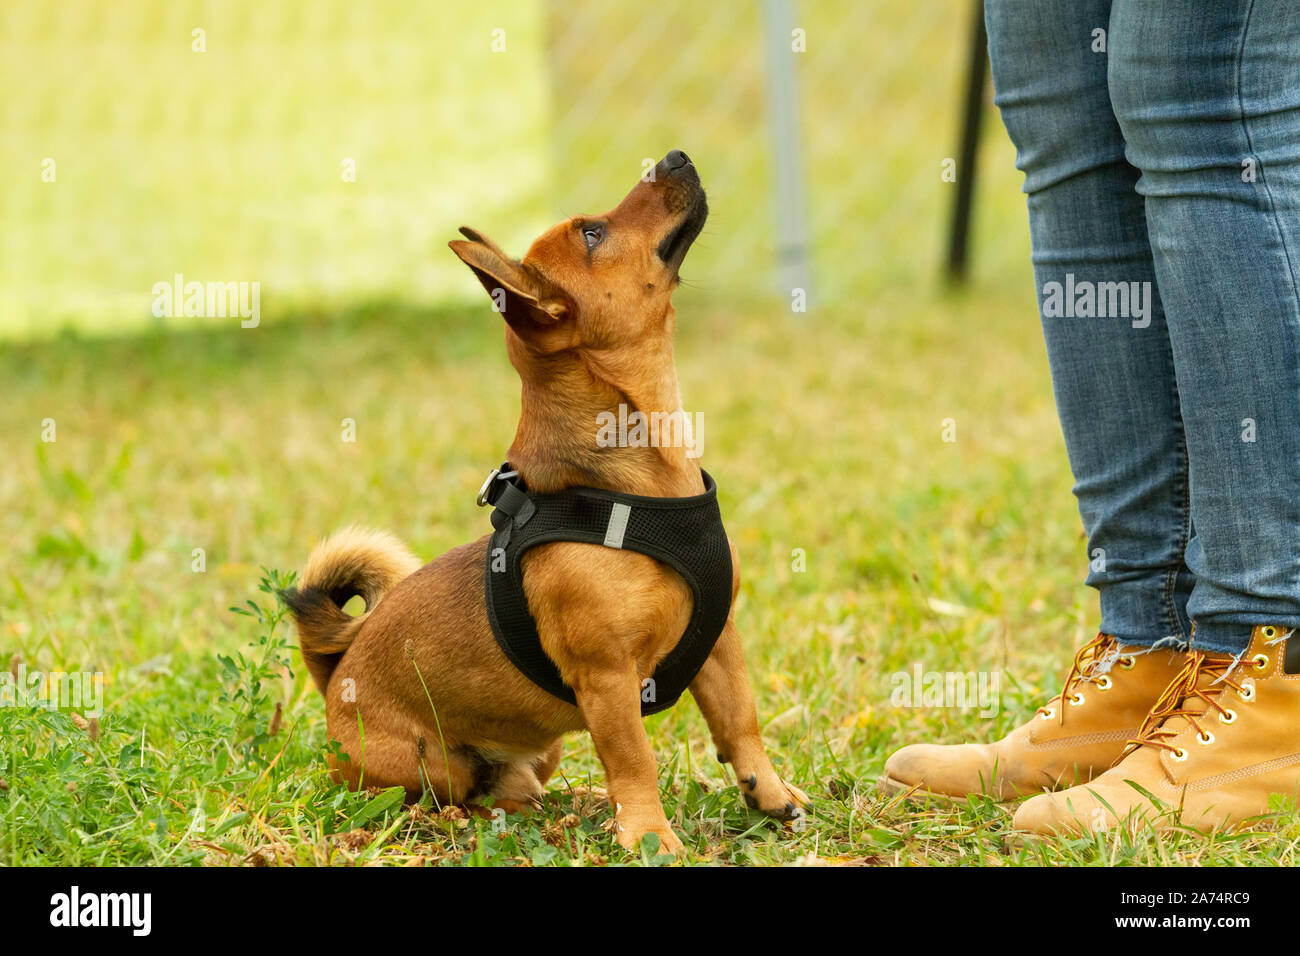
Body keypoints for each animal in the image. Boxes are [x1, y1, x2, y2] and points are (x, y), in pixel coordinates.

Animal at [287, 149, 800, 853]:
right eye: (593, 235)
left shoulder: (719, 643)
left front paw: (767, 793)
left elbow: (740, 723)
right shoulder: (607, 680)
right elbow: (633, 757)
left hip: (543, 751)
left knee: (520, 787)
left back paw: (567, 805)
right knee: (449, 796)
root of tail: (335, 673)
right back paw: (467, 820)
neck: (644, 483)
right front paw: (649, 834)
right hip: (429, 764)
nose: (673, 156)